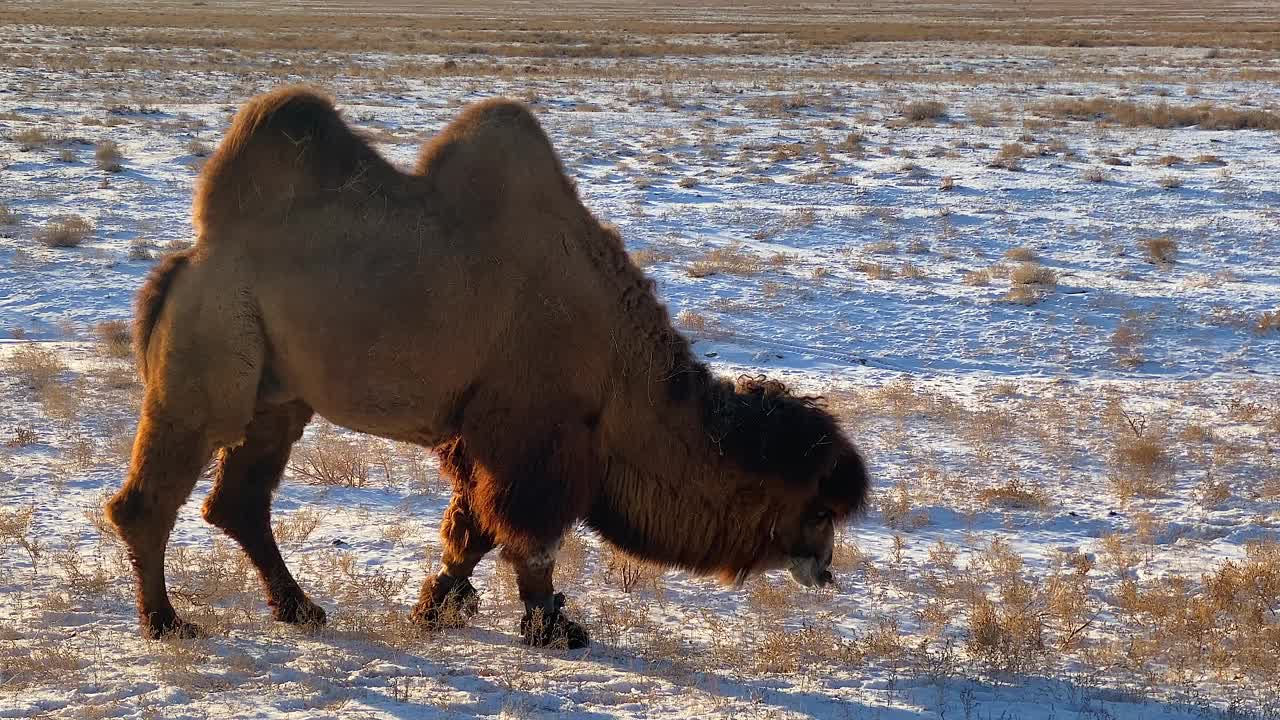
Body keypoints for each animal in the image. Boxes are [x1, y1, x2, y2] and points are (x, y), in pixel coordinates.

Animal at [107, 87, 870, 648]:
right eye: (818, 508)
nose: (826, 568)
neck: (619, 368)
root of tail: (189, 261)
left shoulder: (481, 435)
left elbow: (470, 532)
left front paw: (434, 609)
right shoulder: (530, 435)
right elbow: (530, 540)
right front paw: (555, 628)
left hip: (280, 395)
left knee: (240, 499)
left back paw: (300, 609)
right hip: (211, 362)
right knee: (151, 496)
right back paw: (168, 623)